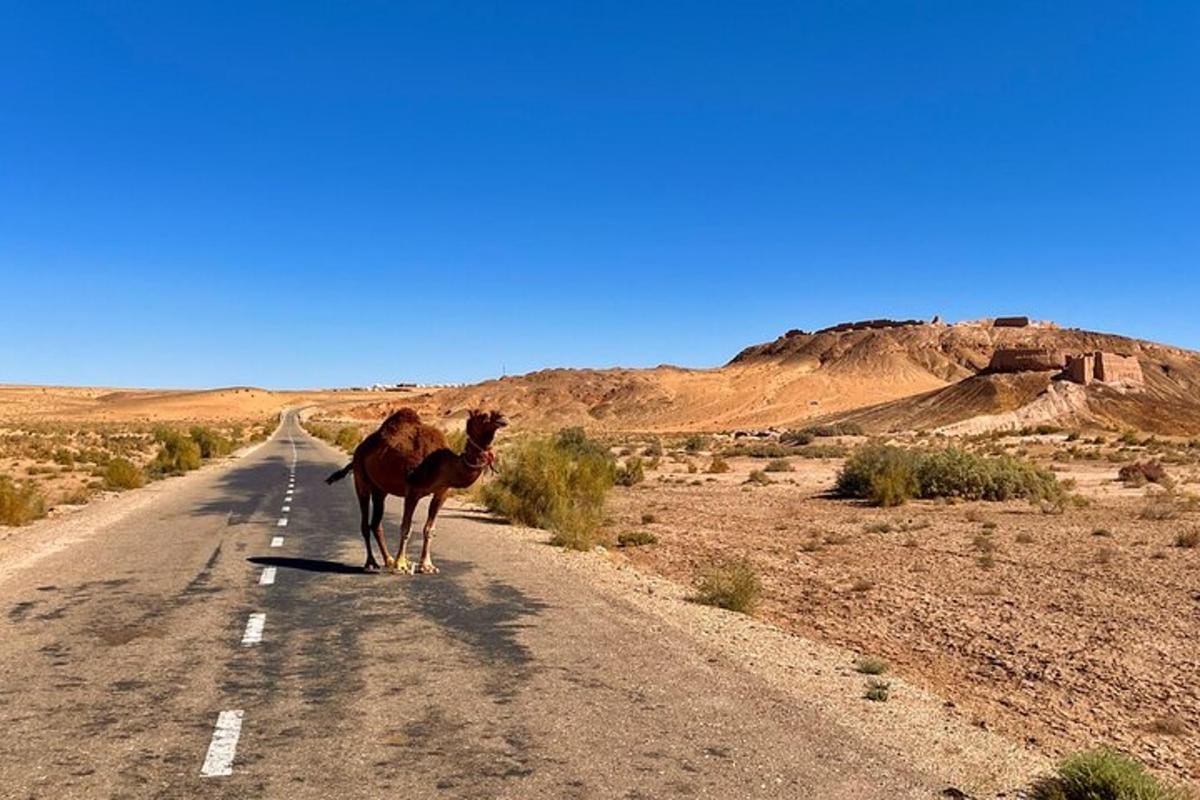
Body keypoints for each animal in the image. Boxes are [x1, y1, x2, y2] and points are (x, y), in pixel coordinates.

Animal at [325, 407, 507, 574]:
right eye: (484, 415)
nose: (503, 419)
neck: (441, 464)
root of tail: (359, 448)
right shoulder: (412, 490)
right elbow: (406, 527)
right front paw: (401, 564)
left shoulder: (442, 492)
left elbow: (429, 529)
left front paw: (427, 565)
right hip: (361, 478)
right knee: (364, 522)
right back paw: (371, 563)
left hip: (380, 490)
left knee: (376, 523)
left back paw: (388, 560)